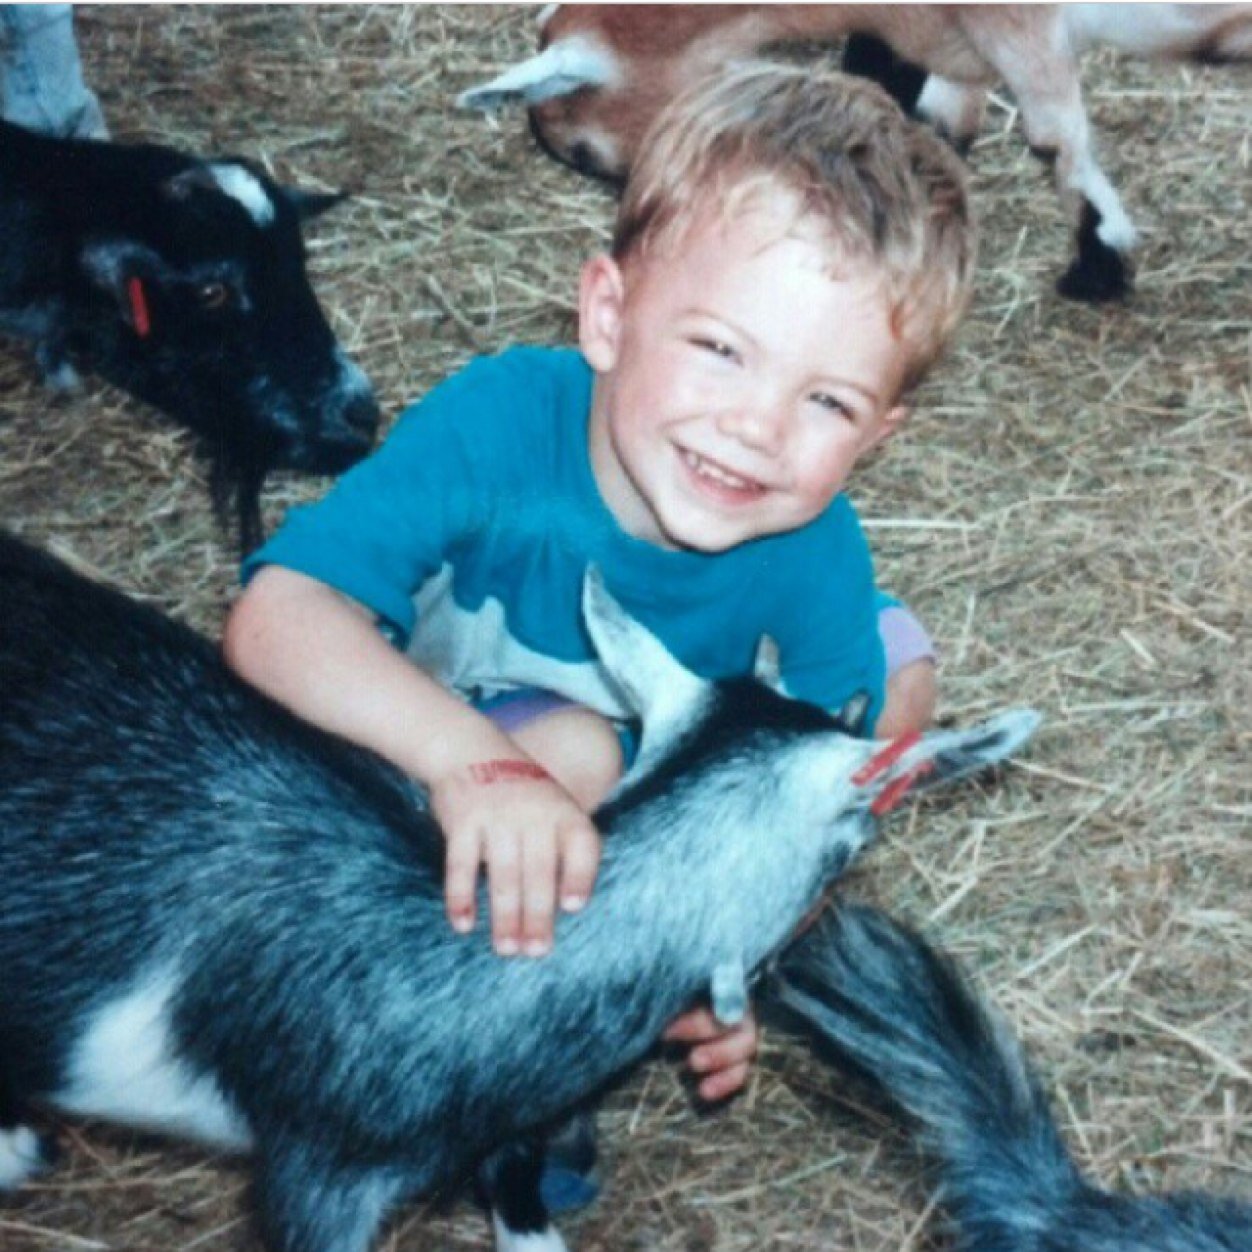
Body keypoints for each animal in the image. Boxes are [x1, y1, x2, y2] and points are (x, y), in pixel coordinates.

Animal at [459, 3, 1252, 303]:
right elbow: (929, 120)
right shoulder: (958, 44)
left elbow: (1054, 140)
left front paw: (1098, 266)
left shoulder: (1021, 26)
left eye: (583, 153)